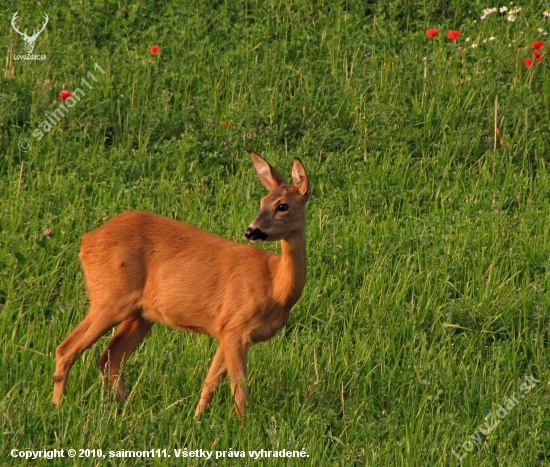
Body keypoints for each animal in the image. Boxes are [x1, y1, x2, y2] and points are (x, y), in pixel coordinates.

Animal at [54, 152, 312, 426]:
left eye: (282, 205)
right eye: (262, 201)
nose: (251, 231)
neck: (274, 286)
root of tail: (86, 241)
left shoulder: (226, 329)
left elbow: (209, 383)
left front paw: (197, 421)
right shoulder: (236, 326)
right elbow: (239, 389)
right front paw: (245, 428)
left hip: (141, 314)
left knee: (109, 359)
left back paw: (129, 412)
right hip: (111, 297)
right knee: (67, 348)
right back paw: (58, 406)